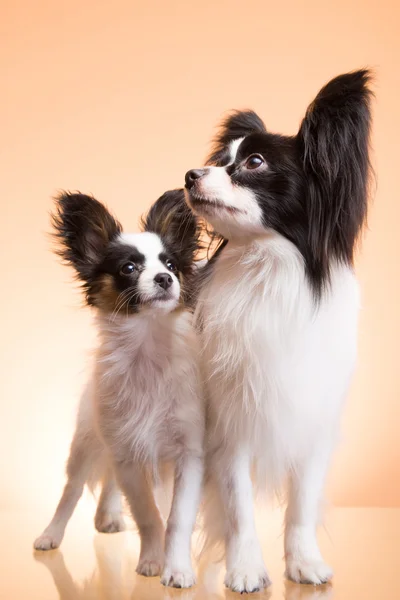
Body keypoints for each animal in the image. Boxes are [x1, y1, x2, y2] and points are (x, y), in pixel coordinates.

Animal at [32, 190, 203, 588]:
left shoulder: (187, 454)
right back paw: (51, 534)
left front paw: (177, 568)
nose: (165, 279)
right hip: (87, 440)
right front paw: (152, 561)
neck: (148, 348)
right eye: (128, 268)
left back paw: (107, 515)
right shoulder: (127, 453)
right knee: (72, 490)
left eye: (171, 264)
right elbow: (148, 514)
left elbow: (177, 517)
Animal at [184, 70, 372, 592]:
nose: (190, 174)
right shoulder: (230, 426)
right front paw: (246, 569)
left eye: (253, 163)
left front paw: (304, 563)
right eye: (220, 161)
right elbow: (239, 507)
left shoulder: (312, 423)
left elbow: (303, 505)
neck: (268, 270)